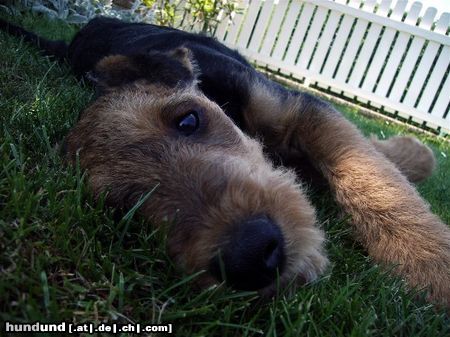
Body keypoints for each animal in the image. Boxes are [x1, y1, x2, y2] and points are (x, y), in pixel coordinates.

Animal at [1, 15, 448, 304]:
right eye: (126, 208)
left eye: (188, 119)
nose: (253, 256)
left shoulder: (296, 110)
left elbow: (373, 176)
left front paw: (433, 269)